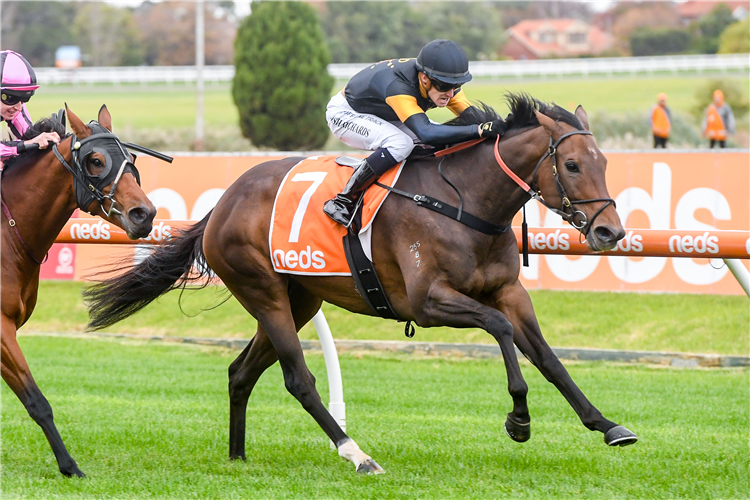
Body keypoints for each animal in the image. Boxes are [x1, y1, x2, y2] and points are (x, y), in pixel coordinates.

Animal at [1, 106, 157, 476]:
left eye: (130, 158)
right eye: (96, 161)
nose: (144, 214)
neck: (7, 236)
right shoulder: (0, 327)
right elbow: (36, 400)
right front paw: (69, 465)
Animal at [86, 95, 640, 474]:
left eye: (604, 162)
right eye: (572, 165)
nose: (610, 232)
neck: (466, 202)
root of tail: (222, 204)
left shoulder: (509, 292)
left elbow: (547, 357)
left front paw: (607, 424)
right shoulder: (427, 303)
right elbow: (501, 330)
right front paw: (519, 419)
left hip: (298, 299)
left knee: (240, 373)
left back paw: (238, 457)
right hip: (264, 292)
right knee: (298, 379)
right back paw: (357, 455)